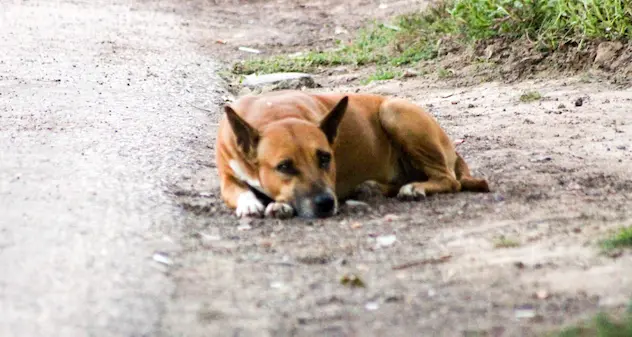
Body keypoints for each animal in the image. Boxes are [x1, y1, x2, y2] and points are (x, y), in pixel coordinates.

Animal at [215, 90, 492, 219]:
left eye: (325, 158)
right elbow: (237, 190)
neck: (276, 114)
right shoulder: (227, 178)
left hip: (394, 111)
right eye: (284, 166)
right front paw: (251, 203)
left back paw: (415, 188)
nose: (326, 203)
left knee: (449, 180)